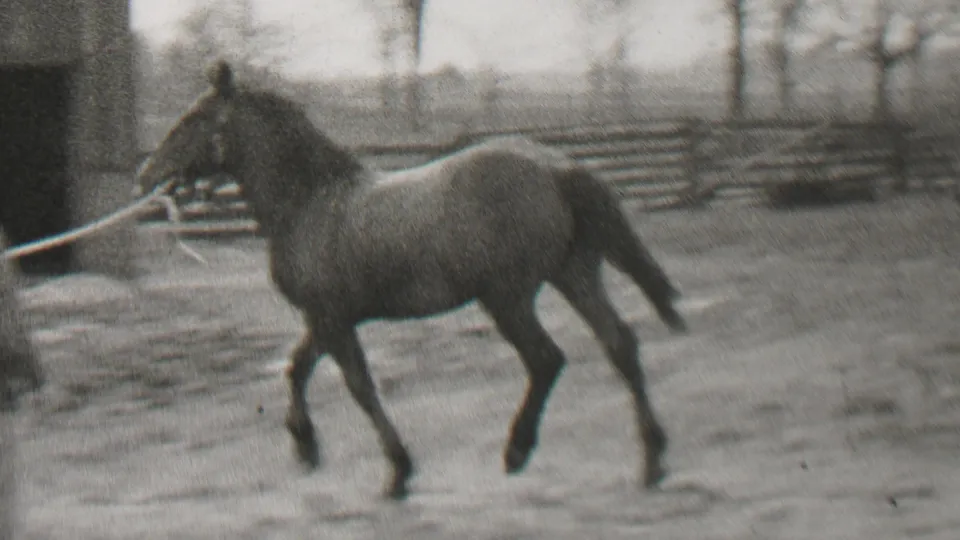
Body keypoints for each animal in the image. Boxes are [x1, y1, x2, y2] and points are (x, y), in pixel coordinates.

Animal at [136, 60, 689, 500]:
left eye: (193, 119)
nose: (145, 178)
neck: (311, 203)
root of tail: (557, 169)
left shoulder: (332, 319)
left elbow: (359, 386)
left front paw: (397, 471)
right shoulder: (324, 318)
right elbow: (296, 369)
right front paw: (306, 447)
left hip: (508, 297)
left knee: (547, 359)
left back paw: (516, 451)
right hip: (573, 275)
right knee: (620, 345)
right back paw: (652, 461)